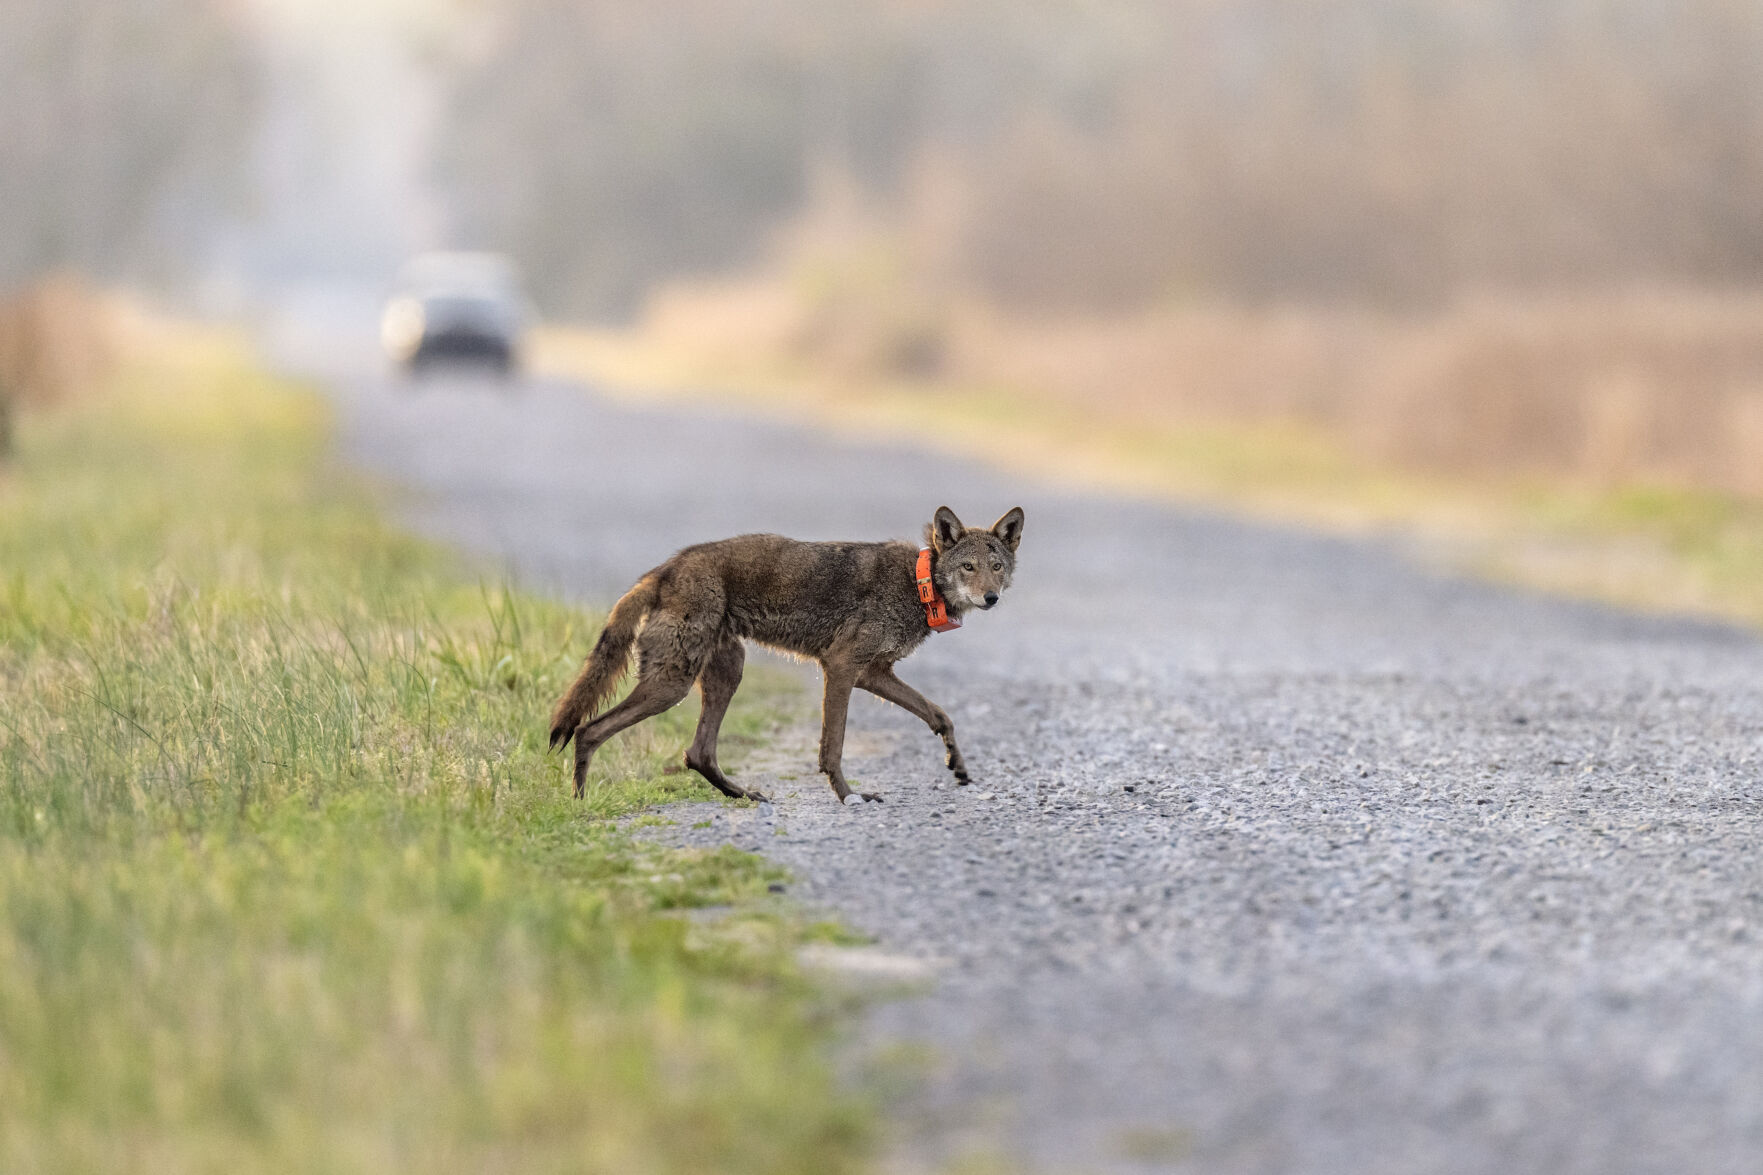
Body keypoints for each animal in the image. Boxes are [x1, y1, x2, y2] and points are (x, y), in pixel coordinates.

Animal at [546, 508, 1022, 800]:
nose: (991, 598)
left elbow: (939, 715)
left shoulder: (873, 673)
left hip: (725, 674)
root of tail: (666, 568)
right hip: (672, 685)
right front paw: (850, 796)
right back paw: (581, 805)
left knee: (697, 753)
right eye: (968, 568)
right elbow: (833, 747)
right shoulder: (842, 667)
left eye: (996, 567)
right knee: (588, 730)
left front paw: (957, 765)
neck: (917, 583)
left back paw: (744, 795)